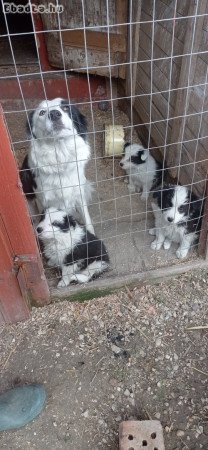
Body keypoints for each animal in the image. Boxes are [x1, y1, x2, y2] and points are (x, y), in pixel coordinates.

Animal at [20, 97, 93, 232]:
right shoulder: (43, 200)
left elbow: (87, 220)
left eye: (65, 108)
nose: (54, 114)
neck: (60, 154)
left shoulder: (79, 192)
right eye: (42, 112)